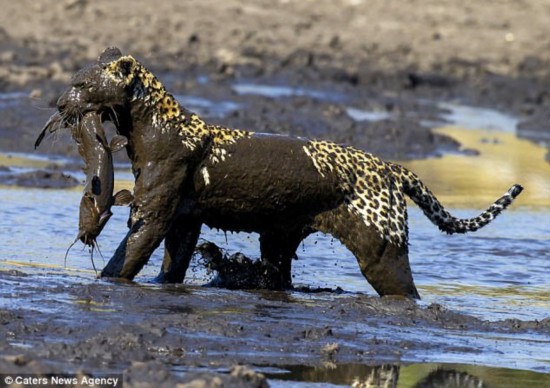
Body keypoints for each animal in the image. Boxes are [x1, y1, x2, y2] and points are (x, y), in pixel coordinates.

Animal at [35, 47, 528, 298]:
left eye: (81, 83)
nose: (59, 103)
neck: (148, 125)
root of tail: (392, 167)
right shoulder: (183, 221)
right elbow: (171, 266)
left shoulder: (152, 214)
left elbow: (125, 258)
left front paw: (103, 282)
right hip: (278, 239)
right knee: (279, 273)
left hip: (382, 251)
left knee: (405, 290)